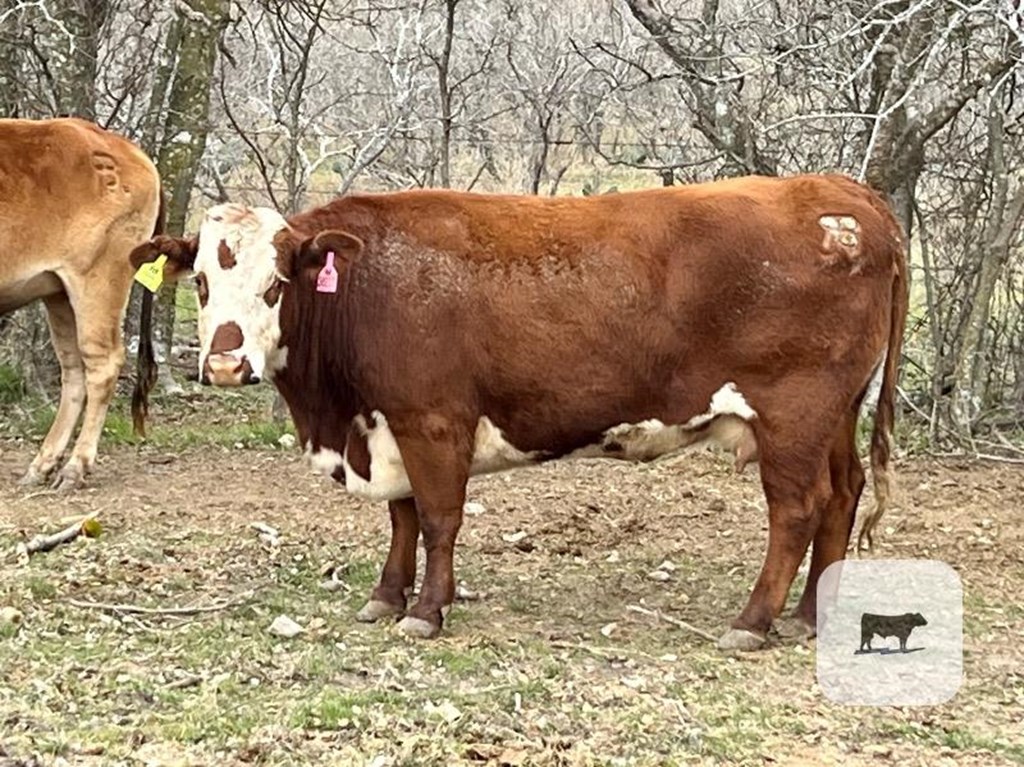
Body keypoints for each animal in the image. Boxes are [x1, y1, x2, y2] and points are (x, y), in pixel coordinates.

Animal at [0, 118, 161, 491]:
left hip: (98, 280)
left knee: (102, 364)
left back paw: (74, 468)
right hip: (58, 291)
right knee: (74, 370)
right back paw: (42, 465)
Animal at [132, 176, 909, 651]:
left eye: (276, 283)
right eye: (201, 283)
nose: (226, 365)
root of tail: (842, 192)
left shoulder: (432, 420)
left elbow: (438, 518)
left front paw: (426, 611)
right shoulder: (389, 426)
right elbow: (403, 517)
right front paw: (387, 595)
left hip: (794, 411)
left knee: (798, 508)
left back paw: (753, 620)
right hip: (836, 411)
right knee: (843, 494)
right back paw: (812, 614)